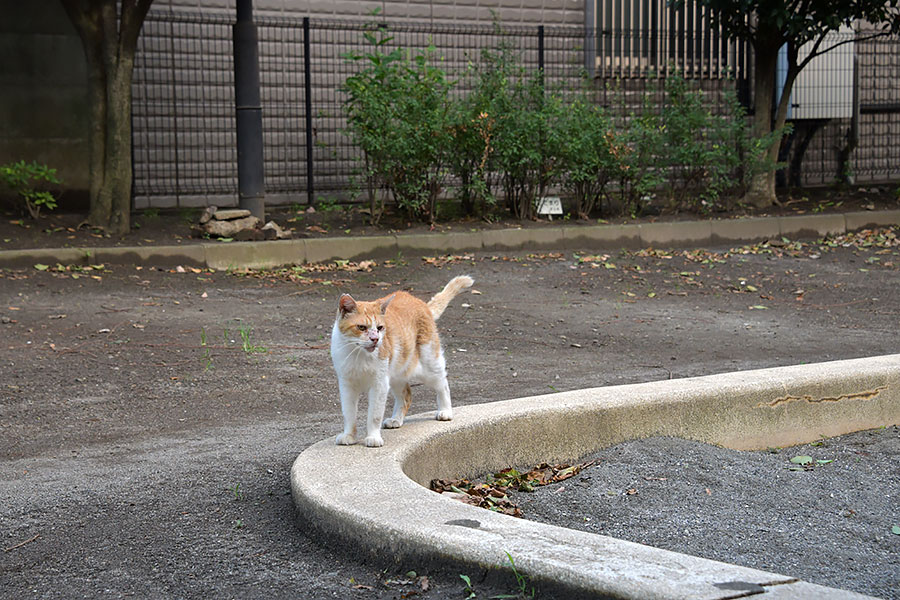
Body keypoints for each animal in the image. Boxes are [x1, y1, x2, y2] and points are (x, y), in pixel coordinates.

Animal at [328, 276, 472, 446]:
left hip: (429, 366)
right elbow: (349, 414)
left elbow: (374, 415)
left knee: (442, 384)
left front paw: (373, 437)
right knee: (406, 395)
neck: (359, 354)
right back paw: (396, 419)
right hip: (396, 375)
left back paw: (445, 411)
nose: (375, 339)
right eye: (361, 327)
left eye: (380, 328)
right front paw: (349, 435)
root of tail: (420, 303)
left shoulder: (379, 384)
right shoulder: (347, 385)